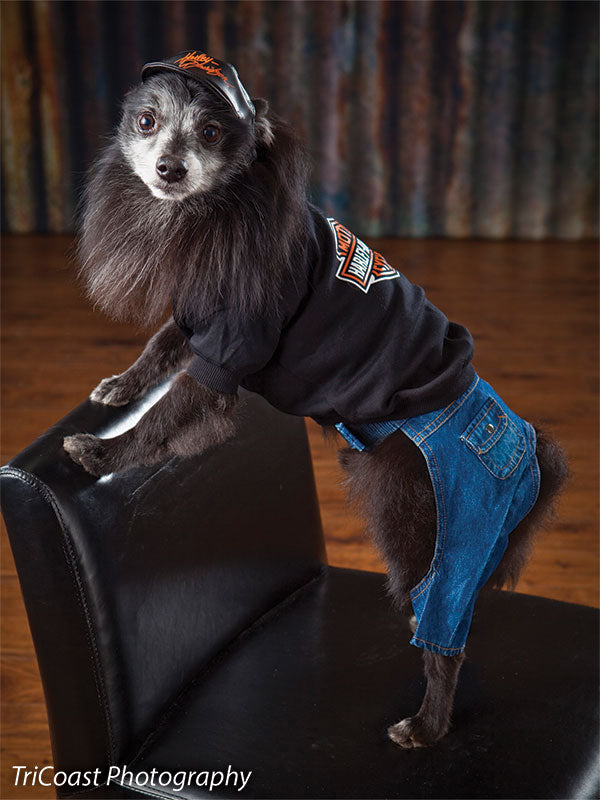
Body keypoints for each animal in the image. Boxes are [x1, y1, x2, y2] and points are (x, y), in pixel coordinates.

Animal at [64, 52, 568, 749]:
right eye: (147, 121)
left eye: (213, 134)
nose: (169, 167)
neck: (214, 209)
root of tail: (521, 450)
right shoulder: (198, 317)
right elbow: (159, 348)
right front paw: (120, 385)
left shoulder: (230, 347)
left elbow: (167, 417)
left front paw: (102, 452)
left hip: (433, 527)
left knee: (446, 638)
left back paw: (428, 725)